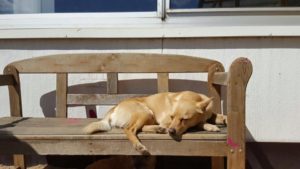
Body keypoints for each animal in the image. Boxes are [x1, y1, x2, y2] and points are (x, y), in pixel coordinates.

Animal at [84, 91, 225, 154]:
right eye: (172, 116)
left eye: (184, 119)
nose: (171, 132)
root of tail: (114, 108)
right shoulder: (166, 121)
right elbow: (199, 123)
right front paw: (210, 126)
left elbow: (217, 116)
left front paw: (222, 119)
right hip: (145, 112)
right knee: (130, 129)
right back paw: (139, 145)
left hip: (148, 116)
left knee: (140, 128)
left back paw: (158, 129)